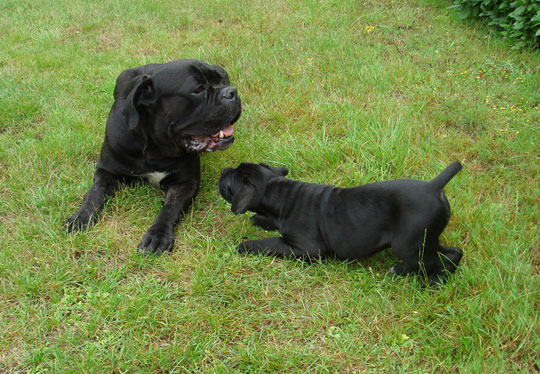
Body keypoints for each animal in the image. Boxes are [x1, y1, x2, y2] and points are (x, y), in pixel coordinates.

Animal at [65, 59, 240, 254]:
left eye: (220, 81)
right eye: (198, 89)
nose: (231, 91)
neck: (154, 148)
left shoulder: (186, 182)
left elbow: (170, 208)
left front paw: (158, 235)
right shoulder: (106, 171)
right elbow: (94, 193)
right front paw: (80, 217)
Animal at [219, 162, 464, 282]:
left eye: (230, 181)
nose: (223, 171)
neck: (279, 192)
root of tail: (433, 186)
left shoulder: (306, 249)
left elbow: (269, 243)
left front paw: (246, 245)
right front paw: (260, 219)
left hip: (408, 245)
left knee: (444, 257)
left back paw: (429, 279)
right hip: (424, 241)